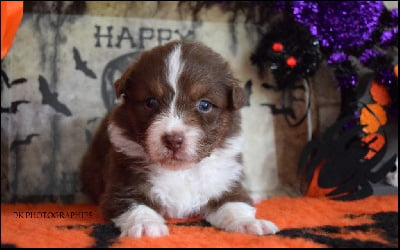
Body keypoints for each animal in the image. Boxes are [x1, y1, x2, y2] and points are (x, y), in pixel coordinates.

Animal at [78, 40, 278, 237]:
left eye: (204, 105)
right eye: (151, 102)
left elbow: (235, 204)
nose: (173, 140)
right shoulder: (124, 184)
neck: (180, 170)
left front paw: (250, 223)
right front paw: (146, 226)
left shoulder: (226, 180)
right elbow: (136, 207)